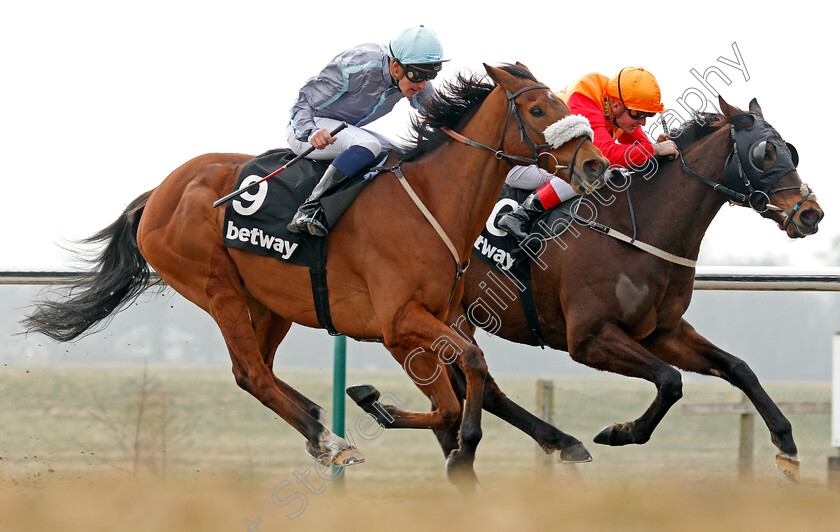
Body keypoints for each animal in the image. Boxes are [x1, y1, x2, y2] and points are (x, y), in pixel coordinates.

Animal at [23, 63, 608, 486]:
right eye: (538, 108)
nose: (595, 165)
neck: (432, 202)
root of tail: (160, 193)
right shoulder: (398, 324)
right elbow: (455, 391)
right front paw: (408, 421)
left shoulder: (447, 316)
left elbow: (470, 382)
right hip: (216, 287)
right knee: (251, 373)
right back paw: (331, 440)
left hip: (271, 301)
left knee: (254, 369)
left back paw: (315, 422)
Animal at [352, 96, 824, 482]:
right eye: (765, 153)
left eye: (791, 149)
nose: (811, 214)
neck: (636, 226)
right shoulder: (589, 338)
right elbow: (670, 381)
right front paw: (620, 432)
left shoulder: (663, 332)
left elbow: (737, 368)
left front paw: (787, 446)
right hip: (427, 317)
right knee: (473, 384)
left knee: (480, 387)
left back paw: (551, 442)